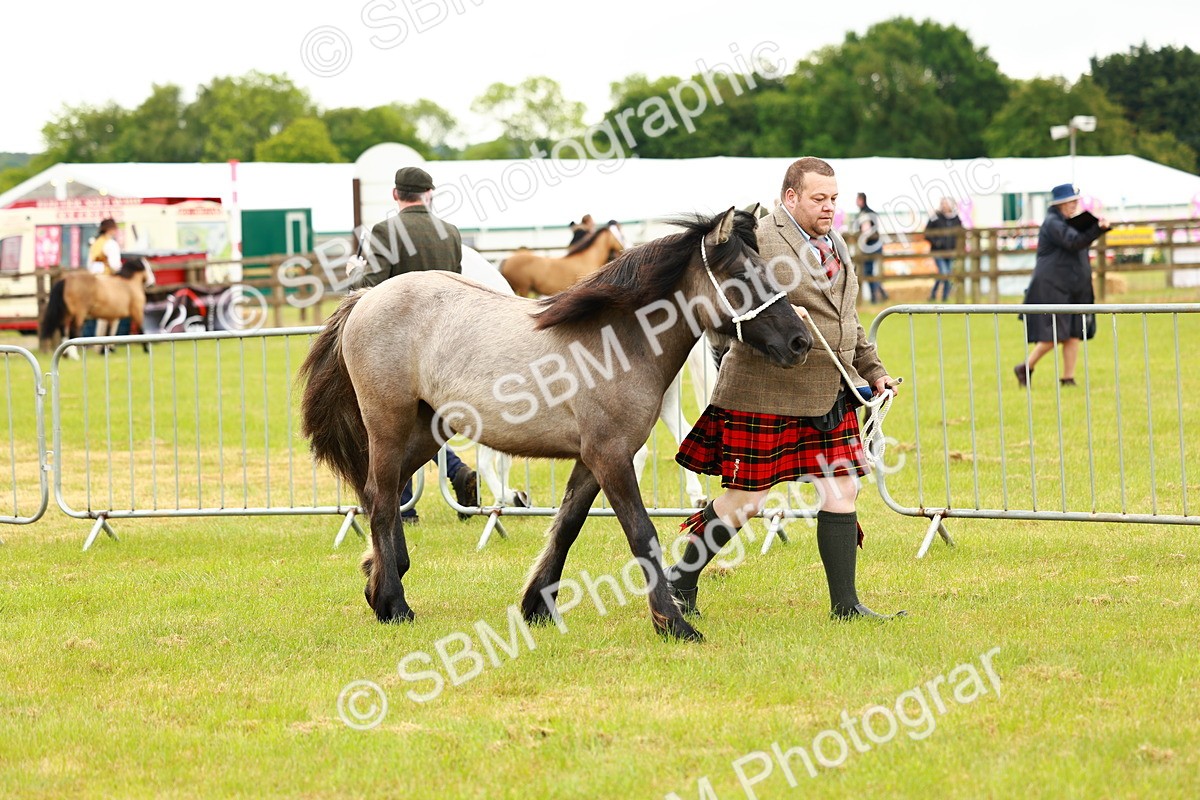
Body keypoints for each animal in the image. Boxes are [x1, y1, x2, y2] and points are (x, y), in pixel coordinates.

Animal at [298, 207, 812, 641]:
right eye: (743, 275)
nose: (800, 341)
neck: (617, 342)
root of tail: (366, 297)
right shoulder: (611, 458)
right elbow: (641, 533)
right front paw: (674, 624)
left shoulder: (592, 461)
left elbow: (566, 526)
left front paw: (537, 606)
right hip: (389, 424)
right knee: (383, 499)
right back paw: (393, 603)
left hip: (428, 430)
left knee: (377, 495)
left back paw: (379, 580)